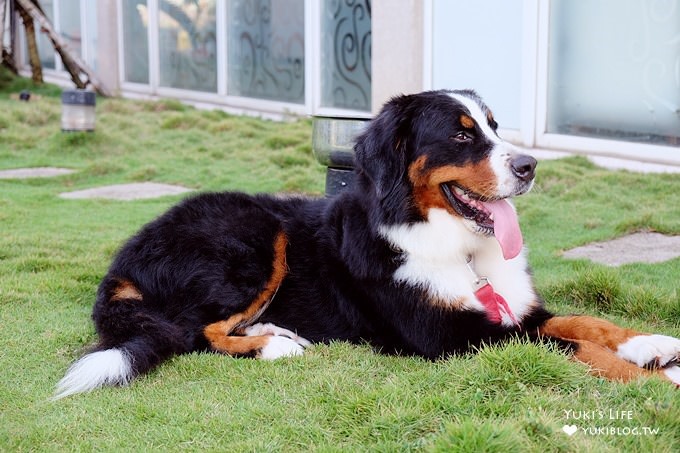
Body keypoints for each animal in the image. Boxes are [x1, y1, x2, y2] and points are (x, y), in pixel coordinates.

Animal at [54, 90, 680, 398]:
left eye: (494, 126)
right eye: (461, 134)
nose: (529, 166)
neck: (456, 246)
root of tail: (126, 255)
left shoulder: (513, 311)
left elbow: (582, 323)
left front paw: (652, 343)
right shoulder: (452, 335)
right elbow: (569, 346)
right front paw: (659, 379)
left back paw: (276, 332)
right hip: (253, 239)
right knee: (195, 334)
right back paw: (276, 347)